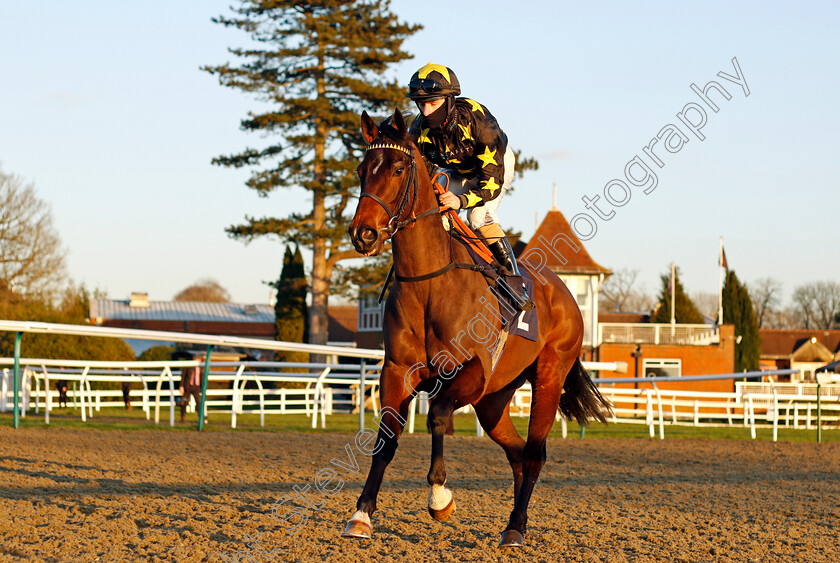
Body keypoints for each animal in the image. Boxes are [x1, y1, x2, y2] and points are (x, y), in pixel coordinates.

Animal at [342, 108, 612, 548]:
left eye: (398, 168)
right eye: (362, 169)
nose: (362, 234)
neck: (430, 283)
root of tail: (566, 296)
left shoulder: (470, 373)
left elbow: (436, 415)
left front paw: (439, 498)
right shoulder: (397, 372)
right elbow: (386, 439)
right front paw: (361, 515)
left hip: (548, 376)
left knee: (534, 452)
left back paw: (515, 528)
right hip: (495, 399)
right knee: (517, 452)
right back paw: (514, 521)